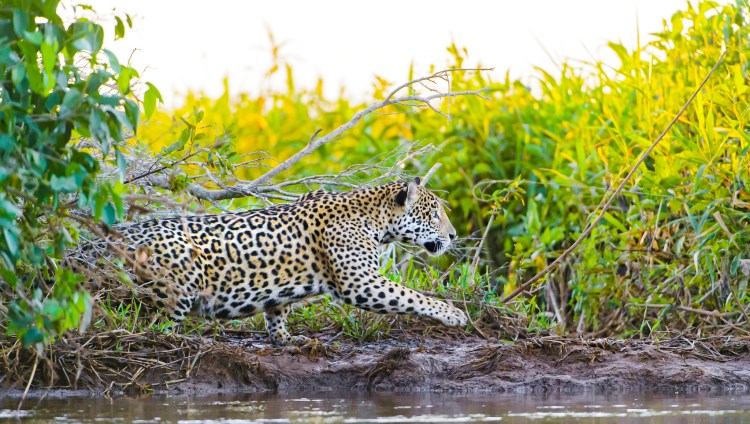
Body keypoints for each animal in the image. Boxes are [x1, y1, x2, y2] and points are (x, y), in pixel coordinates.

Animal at [89, 177, 468, 345]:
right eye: (434, 213)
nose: (452, 235)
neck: (375, 220)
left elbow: (277, 307)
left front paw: (284, 337)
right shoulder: (361, 282)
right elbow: (412, 295)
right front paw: (453, 314)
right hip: (179, 279)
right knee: (152, 327)